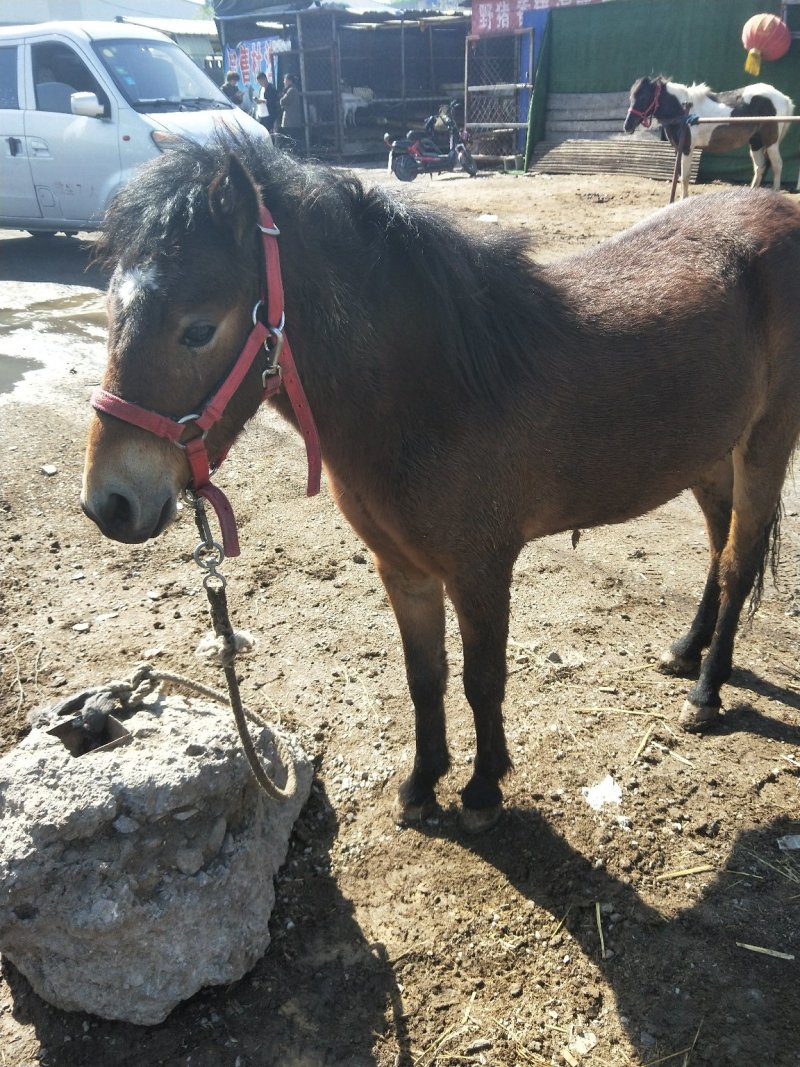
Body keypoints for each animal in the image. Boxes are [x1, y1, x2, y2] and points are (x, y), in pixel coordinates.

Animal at [81, 133, 800, 832]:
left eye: (199, 329)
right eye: (112, 309)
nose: (110, 503)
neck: (437, 391)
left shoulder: (481, 568)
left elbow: (483, 679)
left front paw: (482, 790)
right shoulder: (403, 568)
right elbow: (425, 677)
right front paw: (423, 784)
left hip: (765, 443)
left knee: (738, 562)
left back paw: (706, 692)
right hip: (710, 453)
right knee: (719, 549)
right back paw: (686, 649)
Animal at [624, 75, 796, 200]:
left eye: (644, 97)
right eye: (631, 97)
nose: (627, 126)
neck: (683, 110)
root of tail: (783, 98)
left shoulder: (687, 149)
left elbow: (685, 177)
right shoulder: (677, 149)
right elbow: (678, 176)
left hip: (771, 141)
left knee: (777, 165)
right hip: (756, 142)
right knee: (759, 167)